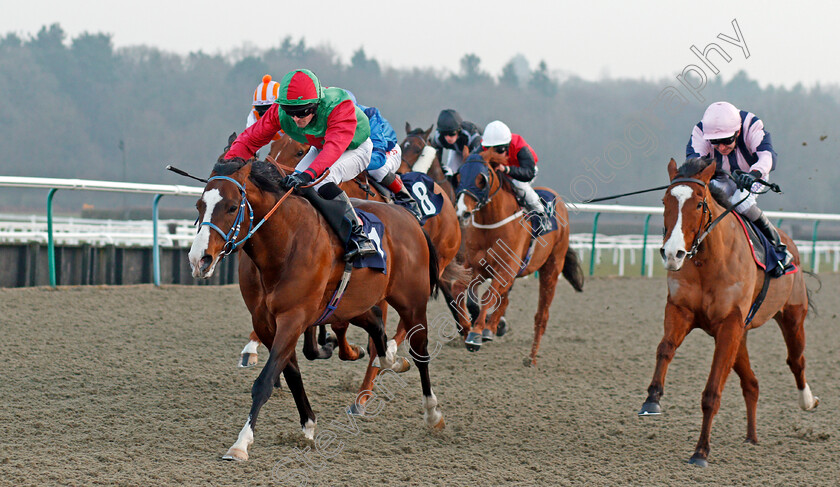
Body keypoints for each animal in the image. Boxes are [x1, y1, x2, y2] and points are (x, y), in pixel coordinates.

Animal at [187, 159, 442, 462]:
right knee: (376, 322)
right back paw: (389, 359)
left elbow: (264, 381)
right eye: (199, 205)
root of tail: (408, 216)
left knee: (421, 351)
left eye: (231, 206)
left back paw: (432, 413)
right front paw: (307, 427)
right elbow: (290, 374)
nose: (199, 260)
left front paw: (240, 444)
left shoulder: (293, 318)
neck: (284, 244)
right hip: (351, 303)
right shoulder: (265, 322)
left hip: (412, 301)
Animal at [452, 151, 584, 368]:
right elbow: (459, 291)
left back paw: (531, 358)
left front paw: (475, 334)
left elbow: (488, 296)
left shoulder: (505, 269)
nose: (462, 212)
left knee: (541, 316)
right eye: (459, 176)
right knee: (504, 298)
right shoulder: (476, 267)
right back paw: (491, 328)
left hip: (551, 268)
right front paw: (467, 327)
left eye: (482, 179)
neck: (492, 225)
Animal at [640, 158, 816, 468]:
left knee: (796, 360)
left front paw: (701, 452)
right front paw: (652, 399)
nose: (672, 253)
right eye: (665, 200)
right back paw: (751, 437)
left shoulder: (729, 325)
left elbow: (712, 392)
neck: (708, 261)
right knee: (752, 383)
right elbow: (665, 348)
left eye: (699, 203)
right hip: (741, 336)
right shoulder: (682, 310)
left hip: (792, 317)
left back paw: (807, 401)